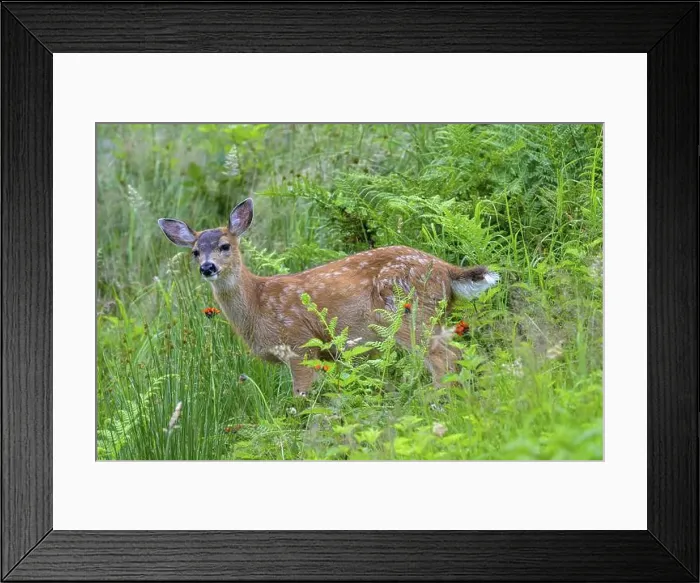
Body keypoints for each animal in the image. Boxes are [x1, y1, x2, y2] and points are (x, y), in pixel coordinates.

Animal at [158, 198, 500, 398]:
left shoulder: (299, 344)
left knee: (443, 357)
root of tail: (445, 269)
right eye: (195, 251)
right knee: (459, 352)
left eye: (225, 245)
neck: (258, 304)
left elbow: (301, 401)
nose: (208, 267)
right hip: (431, 313)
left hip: (407, 311)